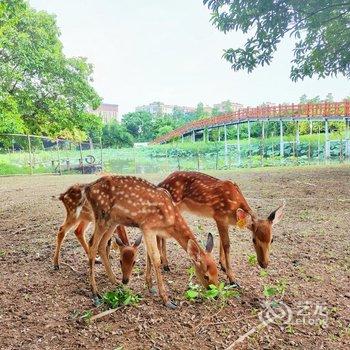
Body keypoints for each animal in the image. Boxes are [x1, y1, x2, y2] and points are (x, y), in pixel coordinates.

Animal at [83, 176, 217, 308]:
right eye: (206, 276)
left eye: (218, 272)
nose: (215, 295)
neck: (170, 220)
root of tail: (88, 189)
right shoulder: (148, 226)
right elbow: (155, 258)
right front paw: (166, 299)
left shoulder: (151, 230)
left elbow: (148, 255)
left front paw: (150, 287)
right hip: (102, 216)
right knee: (92, 245)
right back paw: (95, 294)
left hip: (113, 221)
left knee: (102, 245)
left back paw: (115, 281)